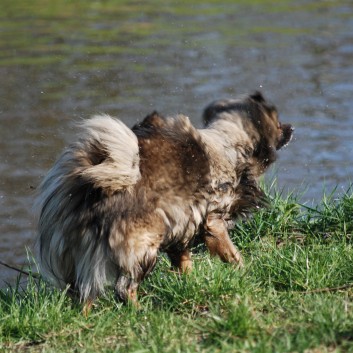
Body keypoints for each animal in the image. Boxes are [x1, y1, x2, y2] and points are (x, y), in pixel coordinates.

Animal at [35, 91, 292, 308]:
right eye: (278, 121)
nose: (291, 127)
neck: (229, 143)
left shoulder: (183, 225)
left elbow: (184, 261)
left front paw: (189, 282)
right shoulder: (213, 221)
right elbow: (231, 253)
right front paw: (243, 270)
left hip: (83, 259)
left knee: (85, 295)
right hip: (143, 247)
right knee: (124, 288)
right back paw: (138, 312)